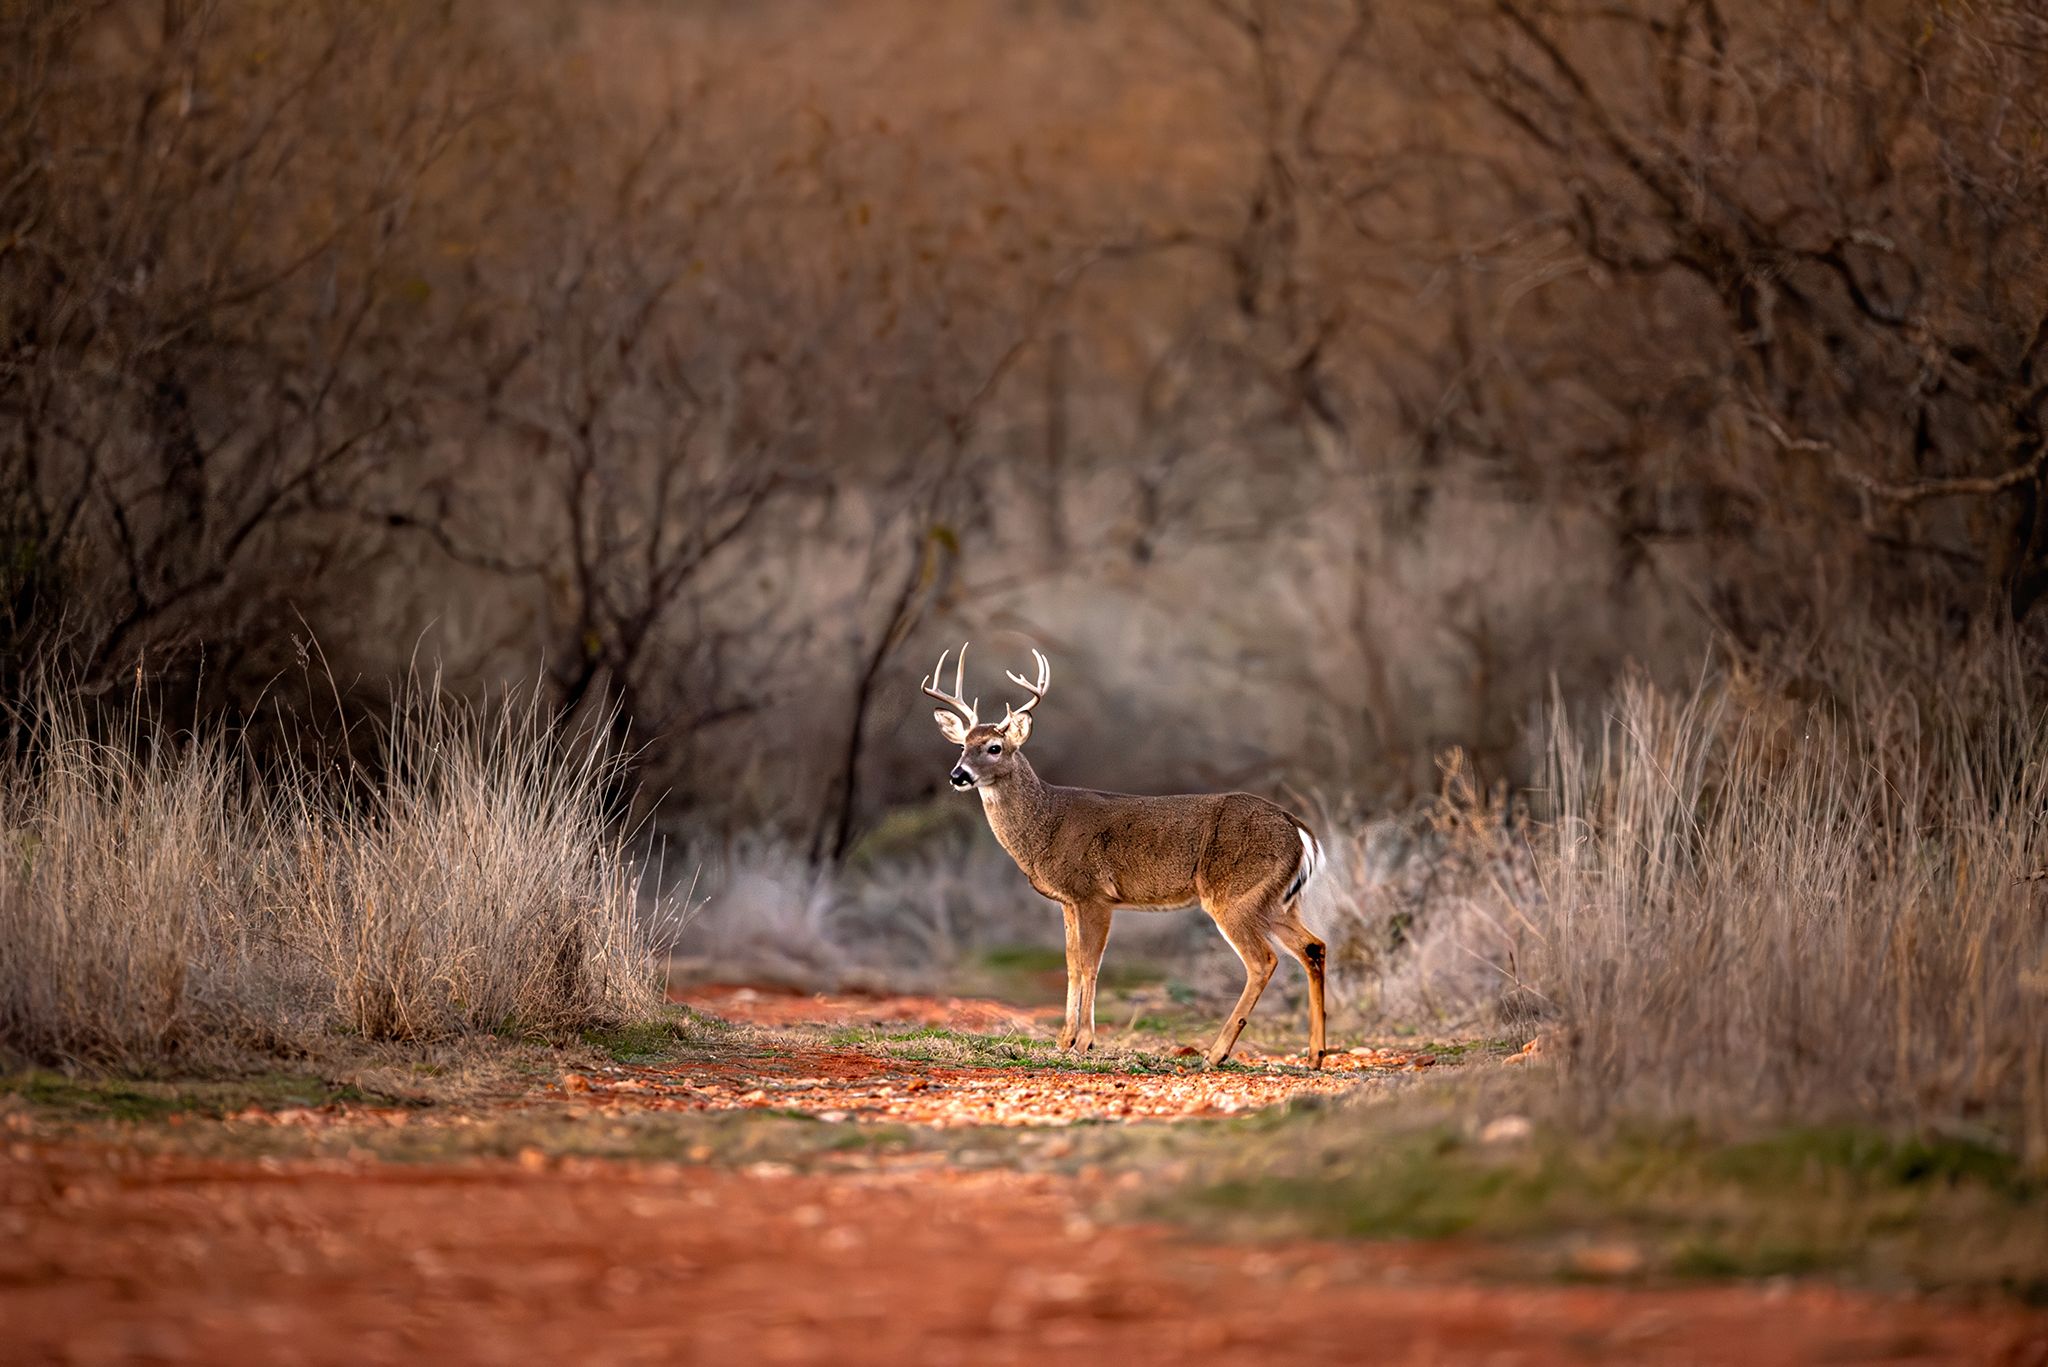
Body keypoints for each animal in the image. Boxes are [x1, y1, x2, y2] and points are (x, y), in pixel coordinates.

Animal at [925, 643, 1335, 1065]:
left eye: (994, 747)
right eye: (962, 746)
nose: (958, 775)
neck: (1046, 824)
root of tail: (1298, 829)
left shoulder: (1094, 894)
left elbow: (1090, 964)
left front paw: (1085, 1041)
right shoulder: (1068, 901)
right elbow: (1071, 964)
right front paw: (1063, 1040)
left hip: (1235, 895)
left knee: (1263, 960)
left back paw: (1217, 1052)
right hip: (1277, 901)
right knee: (1313, 946)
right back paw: (1315, 1054)